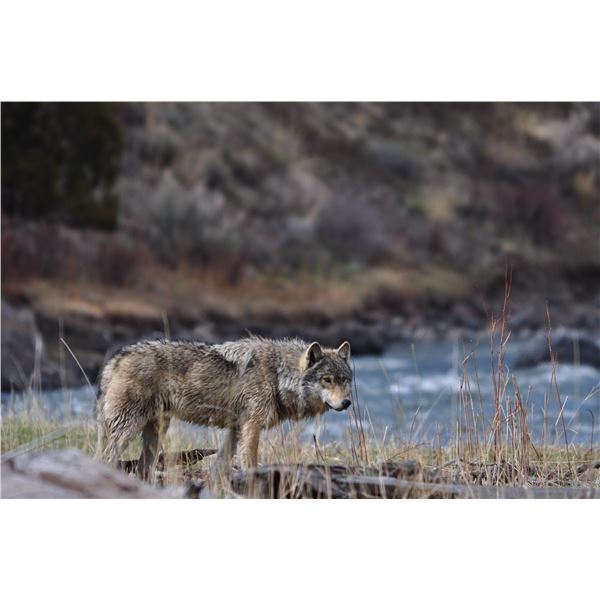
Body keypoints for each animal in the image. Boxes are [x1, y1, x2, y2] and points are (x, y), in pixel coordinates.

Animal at [95, 338, 352, 478]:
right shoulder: (251, 426)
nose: (347, 403)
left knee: (141, 468)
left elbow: (220, 465)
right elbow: (249, 461)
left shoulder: (236, 429)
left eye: (345, 380)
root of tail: (116, 359)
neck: (278, 375)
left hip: (154, 433)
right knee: (106, 458)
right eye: (327, 380)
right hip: (127, 429)